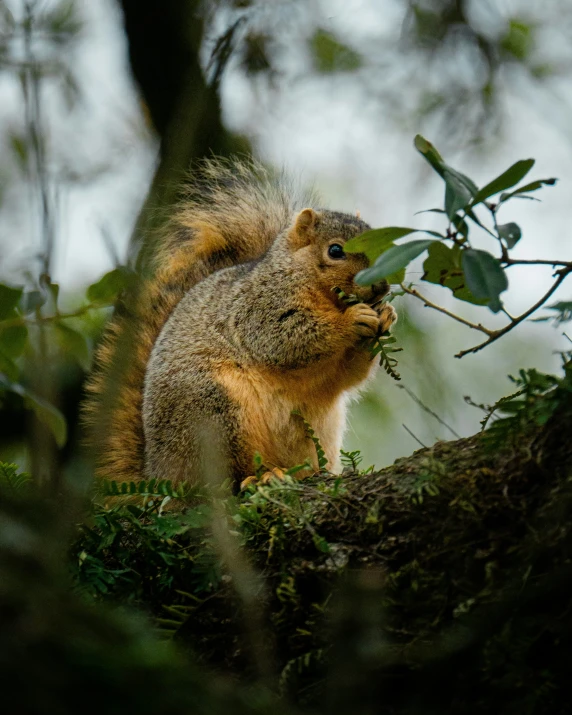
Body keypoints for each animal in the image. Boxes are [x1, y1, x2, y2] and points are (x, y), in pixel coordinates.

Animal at [84, 159, 398, 490]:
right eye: (335, 250)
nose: (381, 286)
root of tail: (160, 472)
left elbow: (347, 376)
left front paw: (386, 315)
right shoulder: (258, 309)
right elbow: (287, 339)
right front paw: (353, 319)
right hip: (213, 412)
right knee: (226, 477)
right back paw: (262, 477)